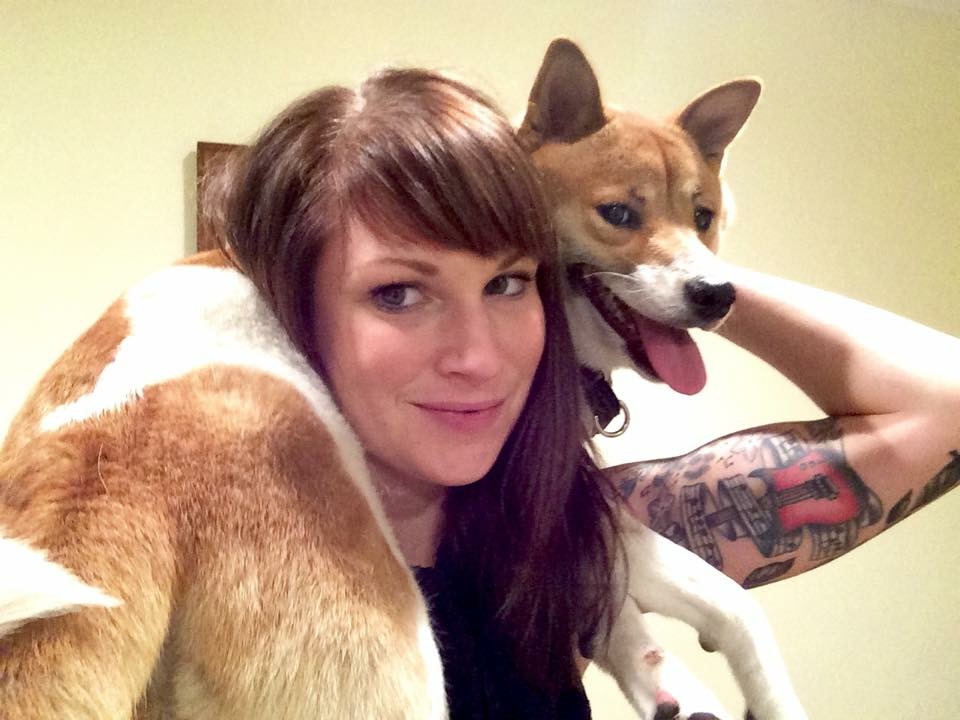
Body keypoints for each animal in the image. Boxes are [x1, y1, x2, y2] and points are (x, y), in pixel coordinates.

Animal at [0, 38, 808, 720]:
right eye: (618, 213)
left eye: (703, 216)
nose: (717, 294)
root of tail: (102, 471)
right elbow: (699, 600)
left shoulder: (578, 521)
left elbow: (703, 602)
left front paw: (669, 681)